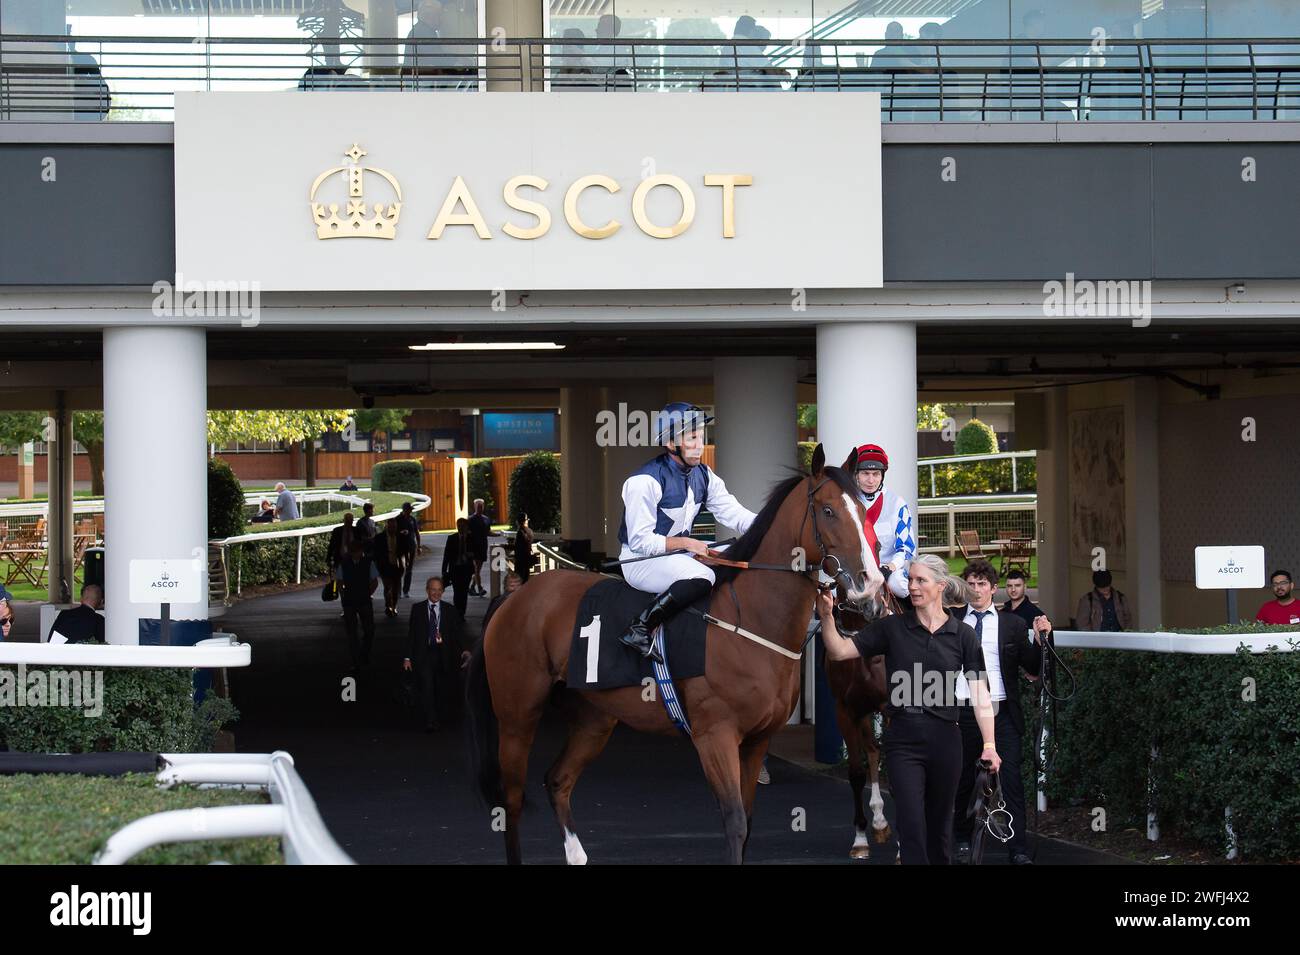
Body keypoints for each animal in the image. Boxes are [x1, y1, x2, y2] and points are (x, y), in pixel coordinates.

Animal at [465, 446, 883, 867]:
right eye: (828, 510)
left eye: (864, 512)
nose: (870, 586)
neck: (749, 619)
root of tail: (515, 597)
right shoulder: (714, 735)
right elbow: (735, 821)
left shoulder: (757, 739)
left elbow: (747, 819)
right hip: (518, 716)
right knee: (512, 801)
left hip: (593, 719)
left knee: (557, 781)